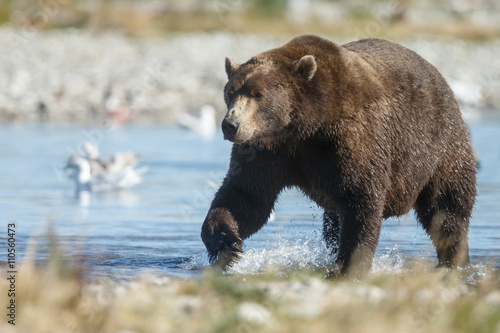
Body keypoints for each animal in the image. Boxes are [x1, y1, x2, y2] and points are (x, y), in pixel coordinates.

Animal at [201, 34, 478, 278]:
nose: (230, 125)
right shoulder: (268, 150)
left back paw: (454, 260)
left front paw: (349, 266)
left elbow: (361, 199)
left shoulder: (350, 137)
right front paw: (226, 244)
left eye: (258, 94)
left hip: (440, 145)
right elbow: (246, 195)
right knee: (332, 223)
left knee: (447, 207)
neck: (304, 125)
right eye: (231, 92)